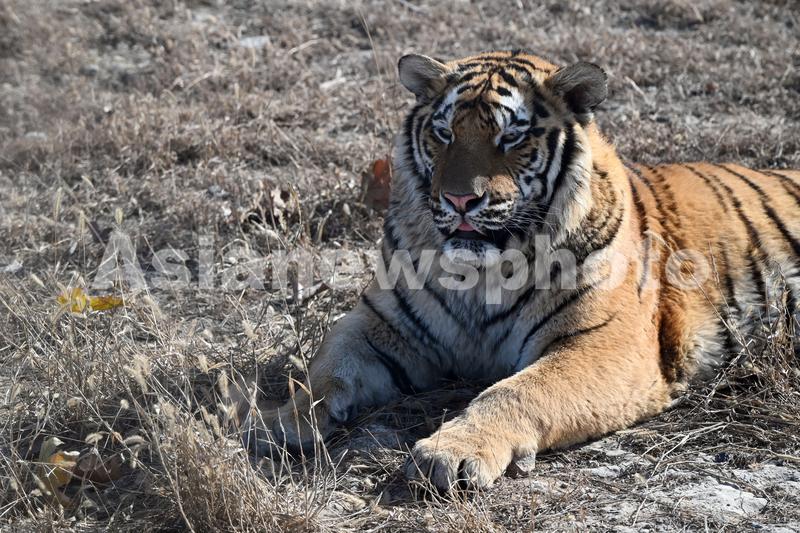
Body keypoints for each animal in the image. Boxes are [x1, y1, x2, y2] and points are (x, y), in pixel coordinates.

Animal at [245, 50, 800, 491]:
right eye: (444, 133)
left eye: (511, 138)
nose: (460, 200)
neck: (481, 274)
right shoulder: (381, 324)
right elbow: (323, 371)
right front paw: (276, 421)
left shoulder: (607, 343)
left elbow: (517, 390)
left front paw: (453, 453)